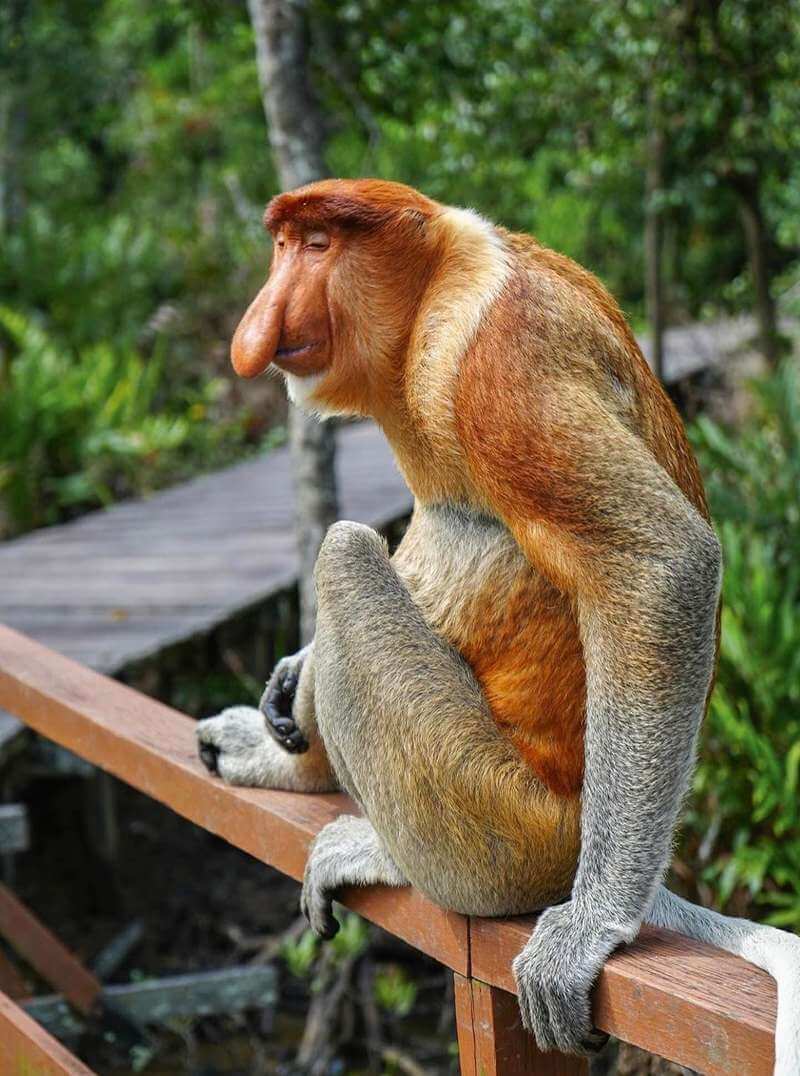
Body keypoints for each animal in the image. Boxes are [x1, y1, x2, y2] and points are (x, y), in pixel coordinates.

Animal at [195, 178, 800, 1067]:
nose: (257, 325)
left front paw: (588, 931)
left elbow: (662, 563)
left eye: (318, 246)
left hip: (508, 819)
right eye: (283, 246)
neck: (431, 293)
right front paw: (286, 678)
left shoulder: (499, 355)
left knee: (345, 552)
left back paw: (380, 849)